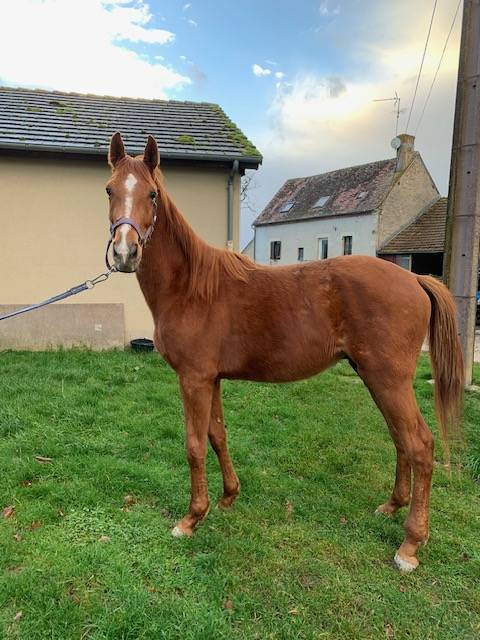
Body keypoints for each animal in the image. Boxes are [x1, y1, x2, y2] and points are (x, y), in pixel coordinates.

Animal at [105, 132, 463, 572]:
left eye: (152, 194)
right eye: (110, 190)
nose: (125, 252)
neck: (191, 287)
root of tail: (414, 278)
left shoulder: (194, 379)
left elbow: (194, 445)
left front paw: (190, 518)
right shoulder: (212, 379)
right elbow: (217, 435)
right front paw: (228, 497)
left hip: (389, 380)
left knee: (420, 445)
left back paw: (410, 545)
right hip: (378, 379)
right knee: (401, 440)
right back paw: (392, 506)